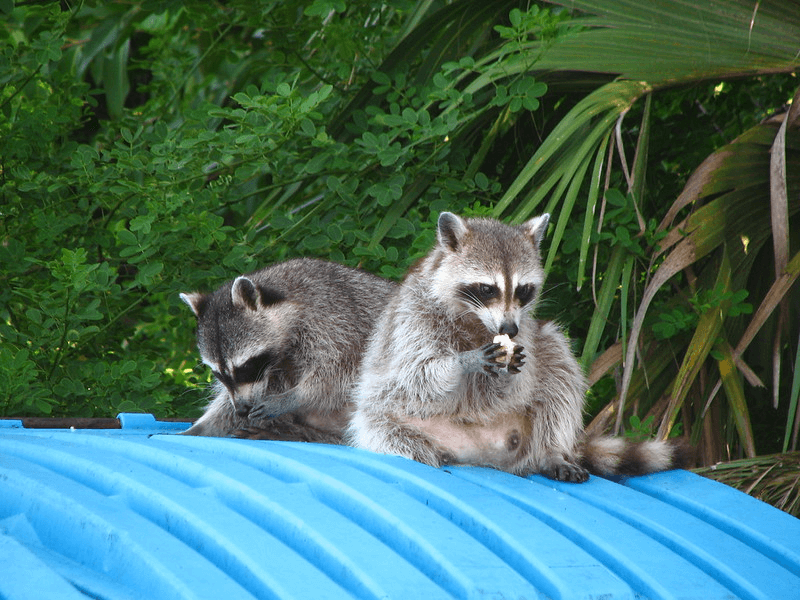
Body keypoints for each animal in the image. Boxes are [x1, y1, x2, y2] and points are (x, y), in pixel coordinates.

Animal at [181, 258, 397, 439]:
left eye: (245, 367)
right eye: (217, 373)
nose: (242, 410)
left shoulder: (338, 323)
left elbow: (338, 374)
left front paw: (296, 396)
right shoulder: (274, 368)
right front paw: (204, 426)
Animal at [348, 212, 690, 482]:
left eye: (523, 289)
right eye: (487, 289)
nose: (508, 329)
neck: (477, 321)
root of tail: (481, 456)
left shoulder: (525, 328)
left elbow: (517, 387)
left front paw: (506, 372)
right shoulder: (415, 319)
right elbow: (413, 376)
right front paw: (462, 361)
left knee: (557, 362)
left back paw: (551, 450)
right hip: (384, 419)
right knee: (381, 428)